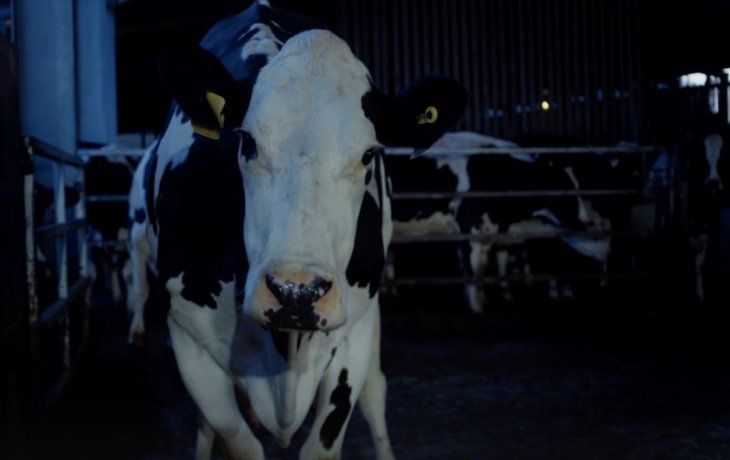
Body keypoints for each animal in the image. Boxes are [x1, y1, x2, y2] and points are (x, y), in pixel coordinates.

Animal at [126, 1, 466, 458]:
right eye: (248, 142)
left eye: (368, 154)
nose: (296, 292)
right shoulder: (188, 337)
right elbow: (235, 437)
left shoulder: (353, 335)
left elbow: (324, 440)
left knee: (376, 392)